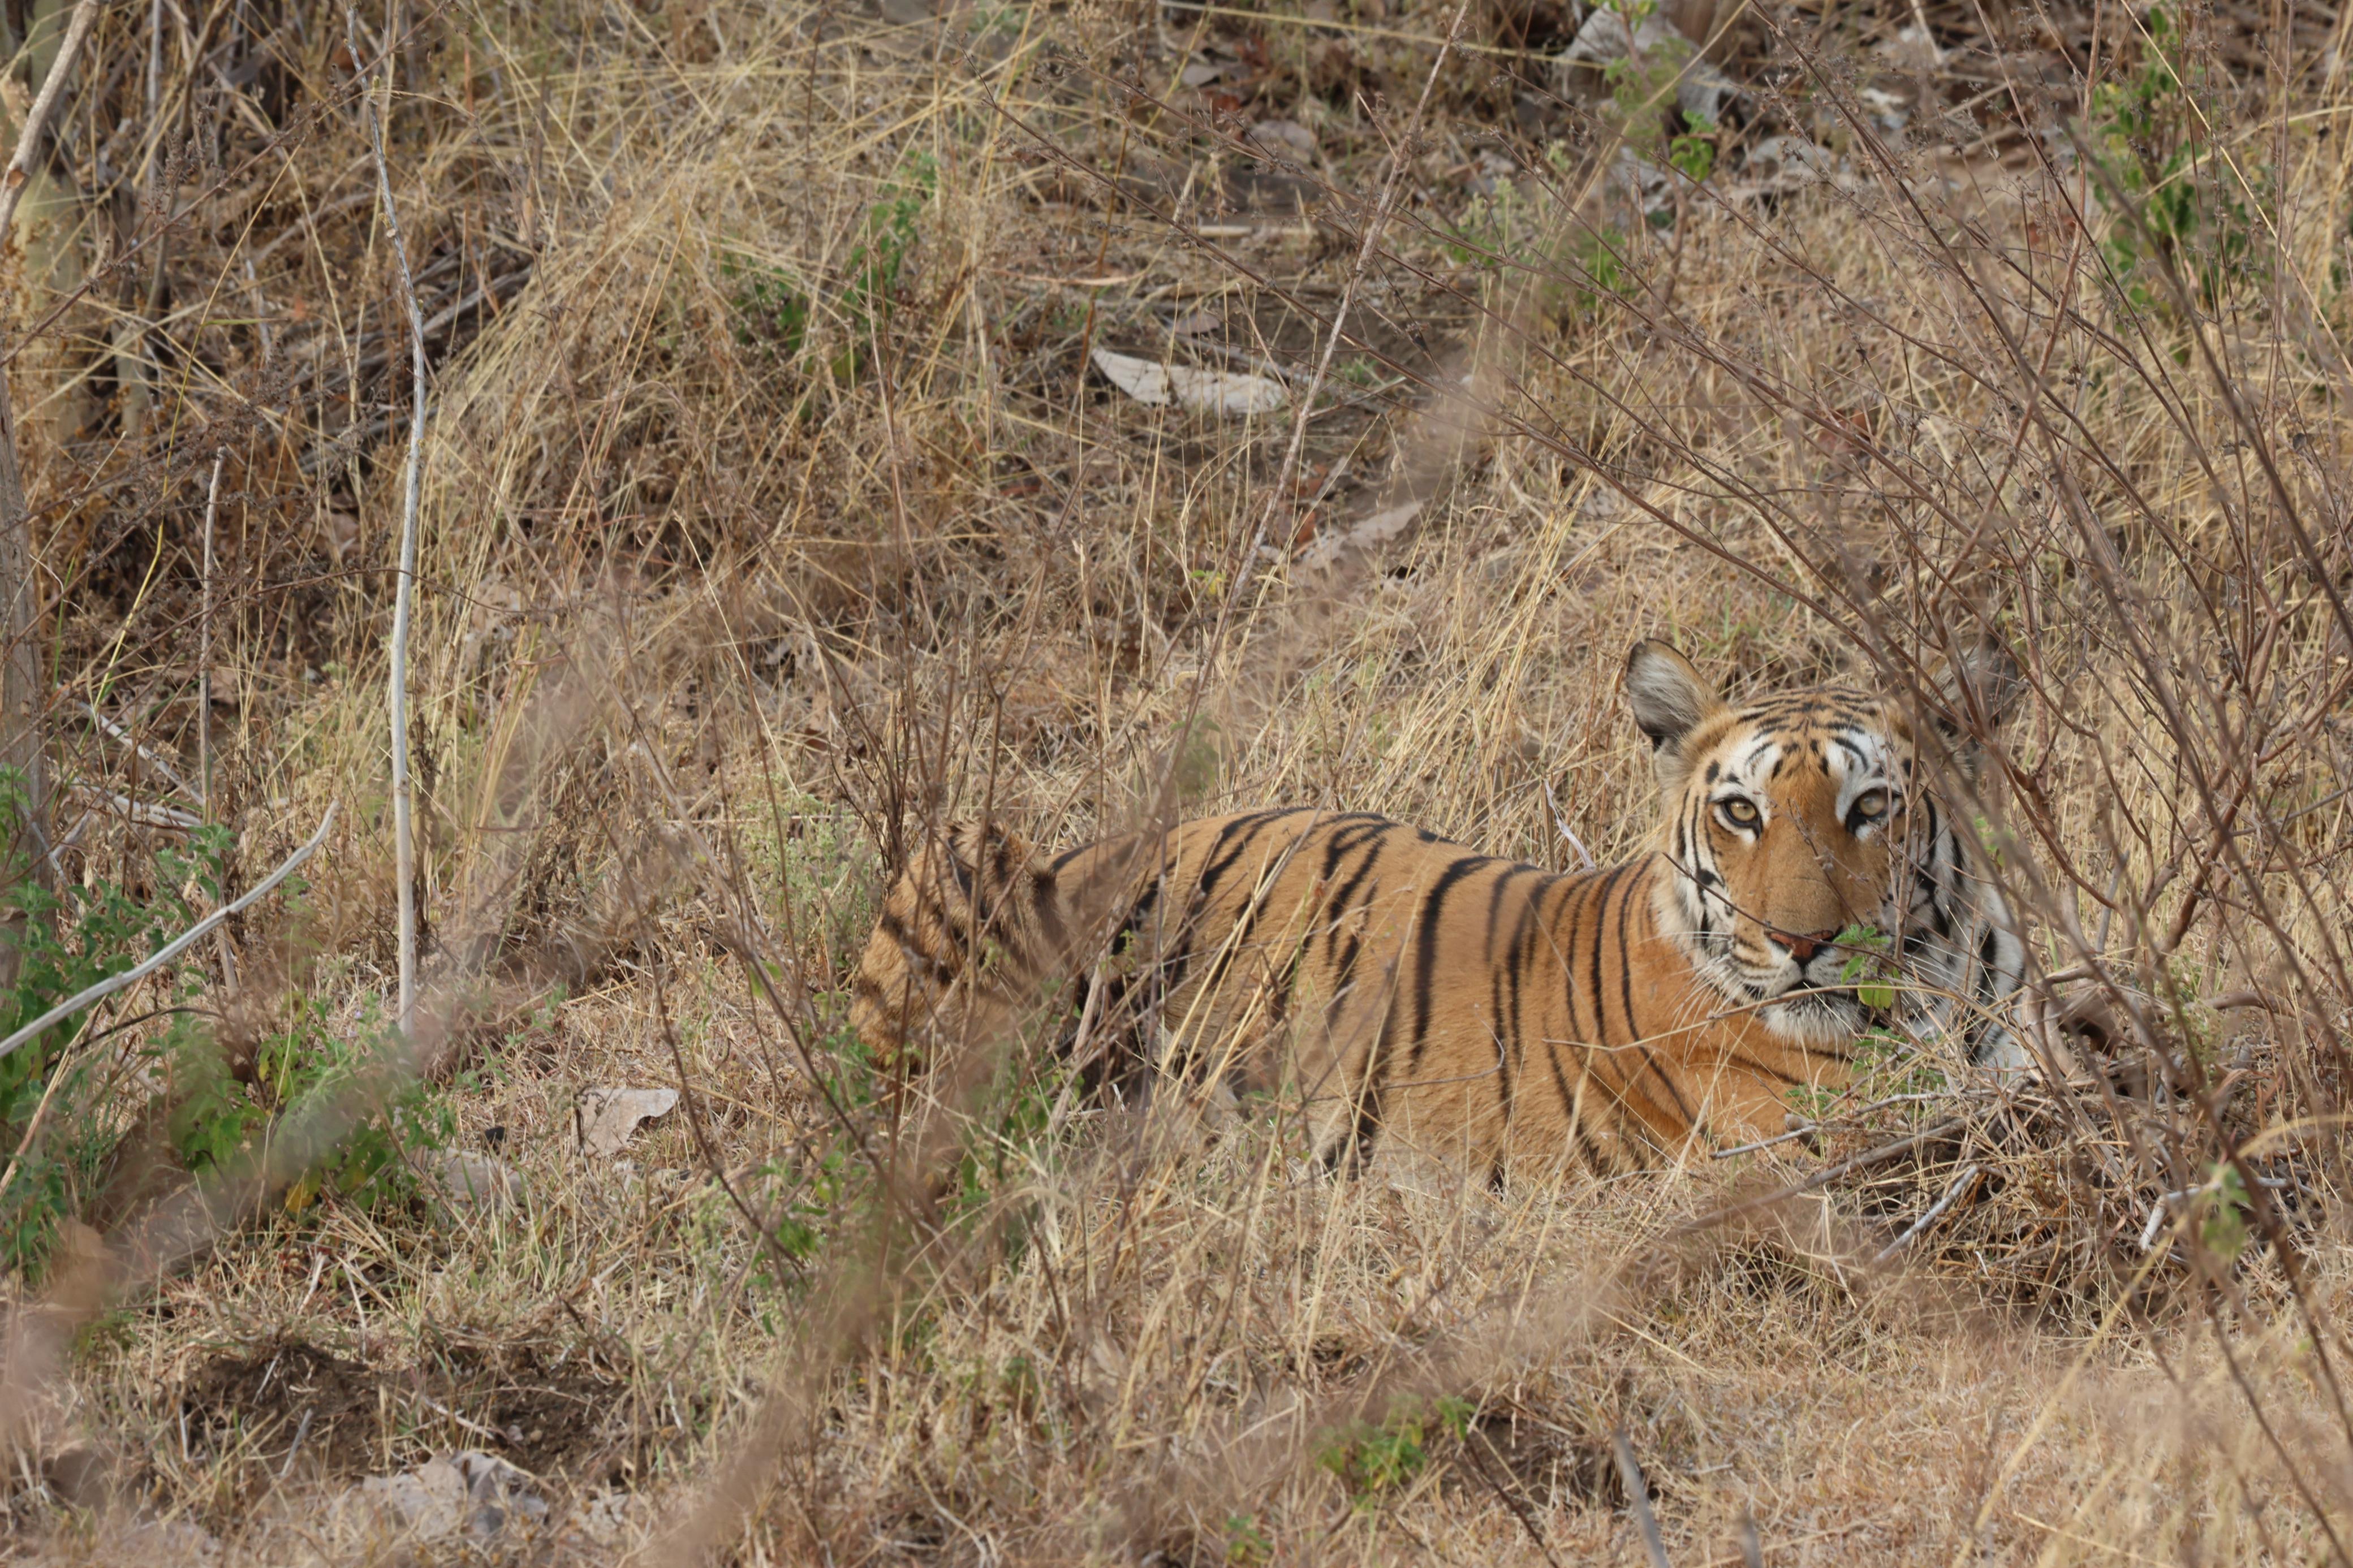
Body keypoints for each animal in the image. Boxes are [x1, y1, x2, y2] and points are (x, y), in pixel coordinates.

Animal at [849, 640, 2027, 1176]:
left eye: (1871, 806)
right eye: (1741, 809)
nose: (1803, 942)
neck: (1949, 984)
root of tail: (1094, 845)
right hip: (967, 855)